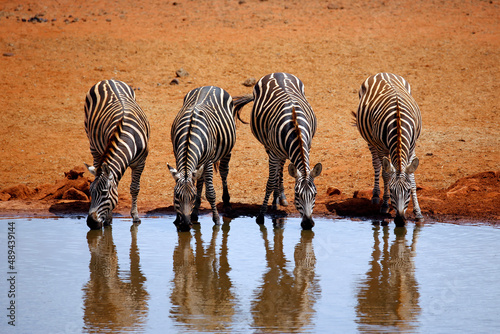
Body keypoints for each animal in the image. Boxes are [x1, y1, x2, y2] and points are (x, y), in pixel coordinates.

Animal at [84, 80, 149, 230]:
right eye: (90, 192)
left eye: (104, 193)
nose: (91, 223)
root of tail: (107, 80)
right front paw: (108, 219)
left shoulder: (140, 162)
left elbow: (135, 188)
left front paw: (135, 216)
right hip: (92, 143)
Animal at [167, 86, 239, 232]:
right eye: (177, 196)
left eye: (192, 196)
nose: (185, 225)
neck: (190, 134)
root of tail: (210, 86)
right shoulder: (177, 155)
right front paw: (177, 219)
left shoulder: (209, 161)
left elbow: (210, 193)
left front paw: (217, 220)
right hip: (199, 162)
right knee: (200, 180)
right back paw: (195, 212)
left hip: (227, 150)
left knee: (224, 172)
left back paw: (227, 203)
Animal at [232, 72, 322, 230]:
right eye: (297, 194)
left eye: (315, 194)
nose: (307, 224)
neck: (295, 127)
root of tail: (278, 73)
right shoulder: (274, 154)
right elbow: (269, 182)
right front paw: (261, 216)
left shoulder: (308, 146)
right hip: (269, 147)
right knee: (276, 172)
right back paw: (275, 199)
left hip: (281, 151)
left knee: (281, 167)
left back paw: (281, 197)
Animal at [354, 72, 424, 226]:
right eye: (391, 190)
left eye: (408, 191)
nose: (400, 220)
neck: (398, 123)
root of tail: (382, 73)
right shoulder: (381, 148)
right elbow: (386, 175)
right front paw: (385, 205)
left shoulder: (411, 147)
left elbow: (412, 178)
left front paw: (417, 212)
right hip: (370, 140)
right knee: (376, 164)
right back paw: (375, 195)